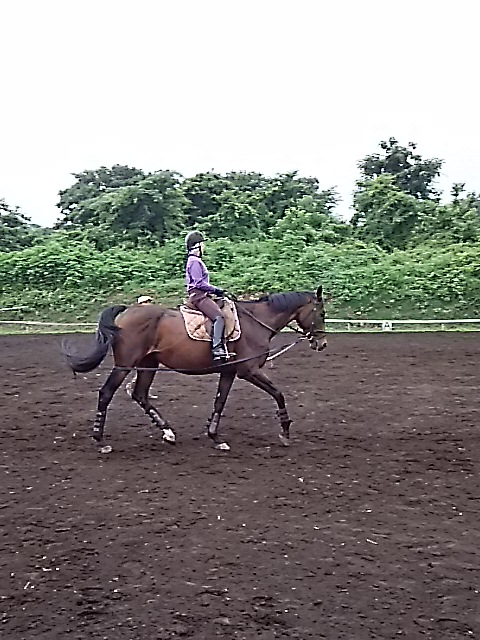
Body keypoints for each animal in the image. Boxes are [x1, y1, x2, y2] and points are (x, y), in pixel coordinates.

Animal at [62, 286, 327, 451]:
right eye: (322, 313)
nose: (322, 344)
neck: (255, 323)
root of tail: (127, 311)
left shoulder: (229, 372)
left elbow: (220, 401)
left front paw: (215, 436)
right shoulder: (249, 371)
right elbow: (278, 394)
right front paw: (285, 432)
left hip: (148, 364)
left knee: (140, 394)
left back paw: (168, 432)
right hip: (125, 365)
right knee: (106, 393)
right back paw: (100, 440)